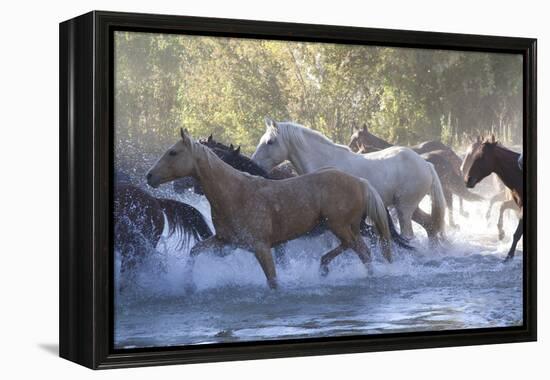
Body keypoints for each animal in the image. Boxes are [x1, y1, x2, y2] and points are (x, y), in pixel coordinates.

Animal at [147, 129, 392, 290]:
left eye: (173, 152)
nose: (149, 176)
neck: (234, 192)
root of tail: (360, 182)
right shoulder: (225, 242)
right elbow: (195, 250)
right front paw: (189, 284)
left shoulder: (262, 247)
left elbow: (273, 281)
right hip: (346, 228)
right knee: (360, 251)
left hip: (340, 226)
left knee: (358, 249)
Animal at [253, 120, 448, 242]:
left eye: (270, 141)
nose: (254, 163)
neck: (325, 162)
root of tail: (425, 164)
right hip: (408, 208)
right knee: (430, 226)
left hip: (404, 208)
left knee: (410, 234)